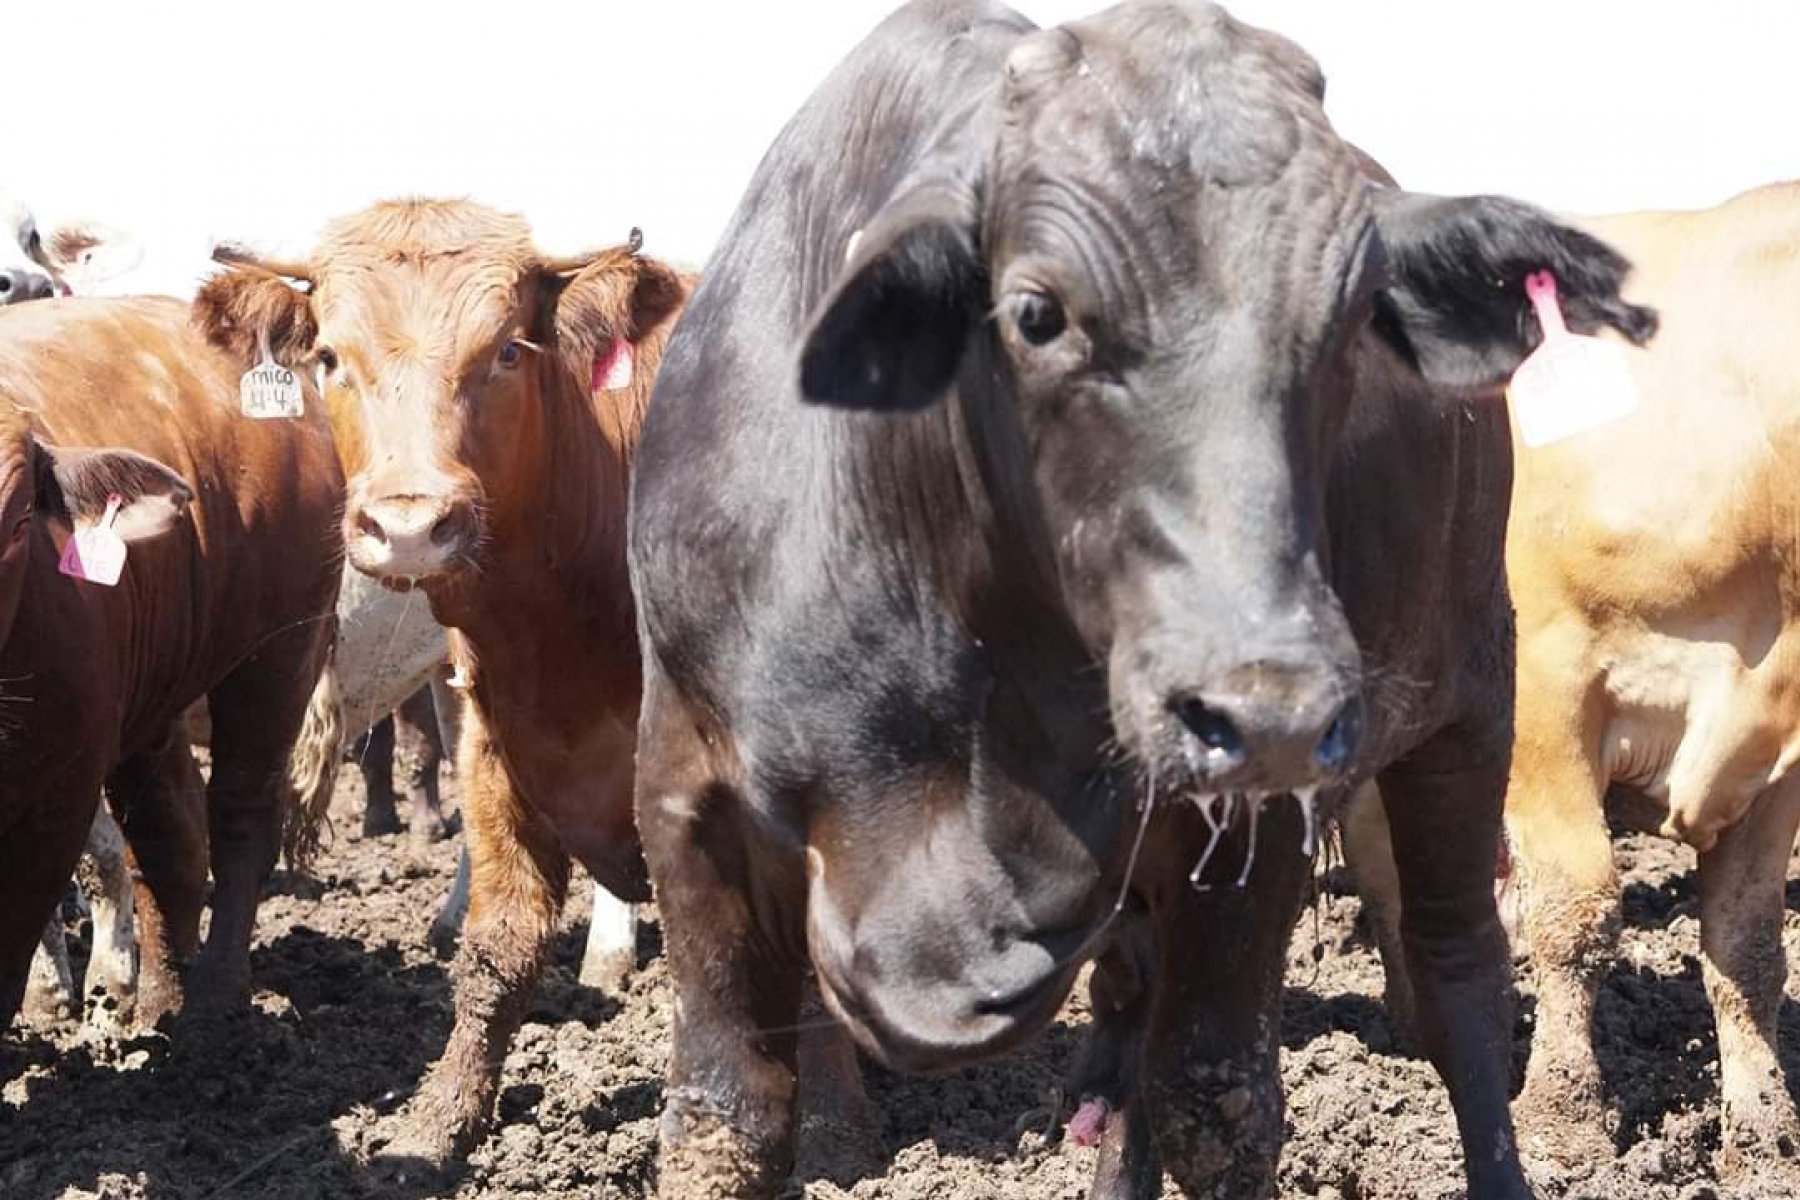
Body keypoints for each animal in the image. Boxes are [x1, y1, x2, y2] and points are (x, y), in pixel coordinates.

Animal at [0, 295, 340, 1029]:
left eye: (14, 523)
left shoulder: (51, 803)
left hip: (277, 654)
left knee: (242, 814)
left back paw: (215, 1001)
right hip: (153, 695)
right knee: (170, 832)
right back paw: (161, 998)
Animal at [197, 204, 687, 1165]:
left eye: (506, 350)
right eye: (329, 357)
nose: (411, 526)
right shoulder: (497, 735)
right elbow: (499, 946)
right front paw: (438, 1126)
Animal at [630, 4, 1656, 1194]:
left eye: (1356, 313)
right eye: (1035, 312)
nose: (1270, 706)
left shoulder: (1260, 811)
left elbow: (1217, 1098)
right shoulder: (686, 800)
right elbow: (725, 1119)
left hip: (1470, 702)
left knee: (1459, 979)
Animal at [1353, 183, 1800, 1187]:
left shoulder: (1779, 759)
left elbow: (1747, 945)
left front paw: (1765, 1134)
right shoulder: (1547, 679)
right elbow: (1577, 911)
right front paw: (1565, 1123)